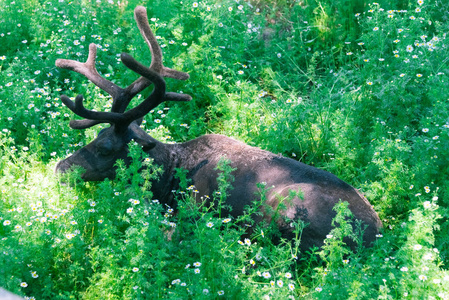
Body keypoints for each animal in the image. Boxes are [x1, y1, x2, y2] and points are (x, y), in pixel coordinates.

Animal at [54, 5, 380, 252]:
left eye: (105, 148)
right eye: (96, 134)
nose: (60, 167)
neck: (170, 176)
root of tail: (376, 237)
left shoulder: (196, 207)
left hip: (289, 213)